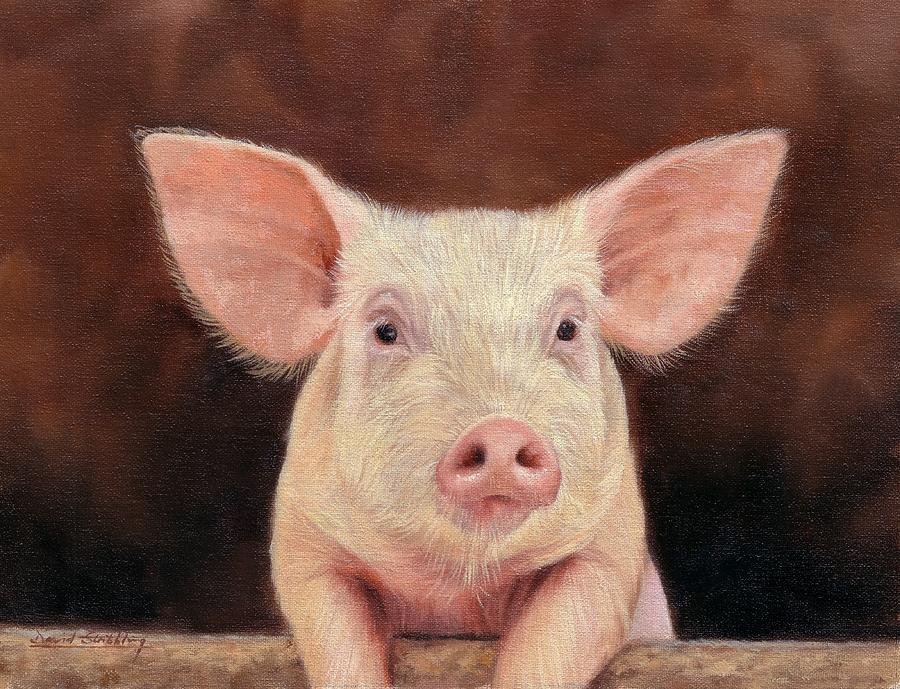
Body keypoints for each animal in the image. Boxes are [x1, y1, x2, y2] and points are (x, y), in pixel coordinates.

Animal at [140, 129, 787, 689]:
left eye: (568, 327)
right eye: (385, 330)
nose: (500, 432)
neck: (456, 586)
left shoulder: (612, 545)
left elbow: (559, 634)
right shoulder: (305, 537)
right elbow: (335, 635)